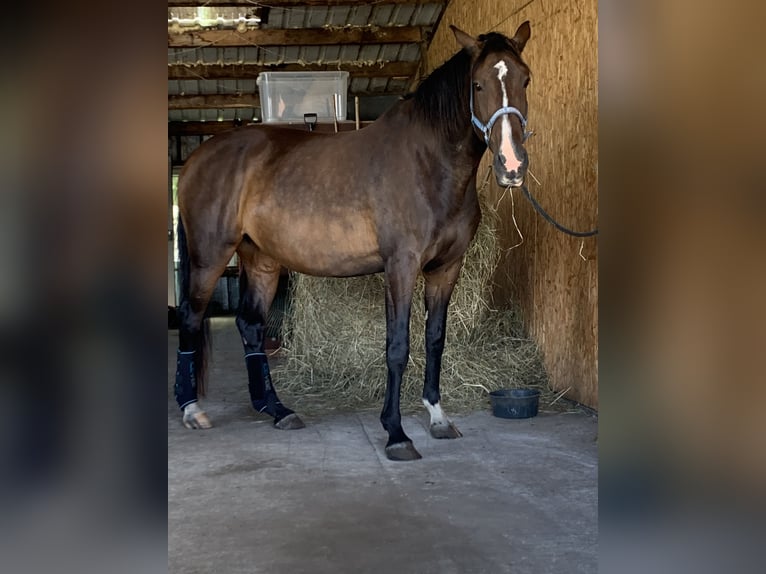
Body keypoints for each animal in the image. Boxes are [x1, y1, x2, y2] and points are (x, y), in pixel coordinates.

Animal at [174, 23, 536, 464]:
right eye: (478, 84)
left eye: (525, 80)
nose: (512, 165)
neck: (428, 162)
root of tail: (197, 158)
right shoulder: (401, 266)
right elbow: (397, 345)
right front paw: (396, 433)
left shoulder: (446, 268)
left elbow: (435, 339)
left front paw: (437, 417)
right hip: (209, 257)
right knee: (191, 320)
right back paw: (192, 410)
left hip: (261, 260)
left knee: (251, 325)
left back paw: (276, 410)